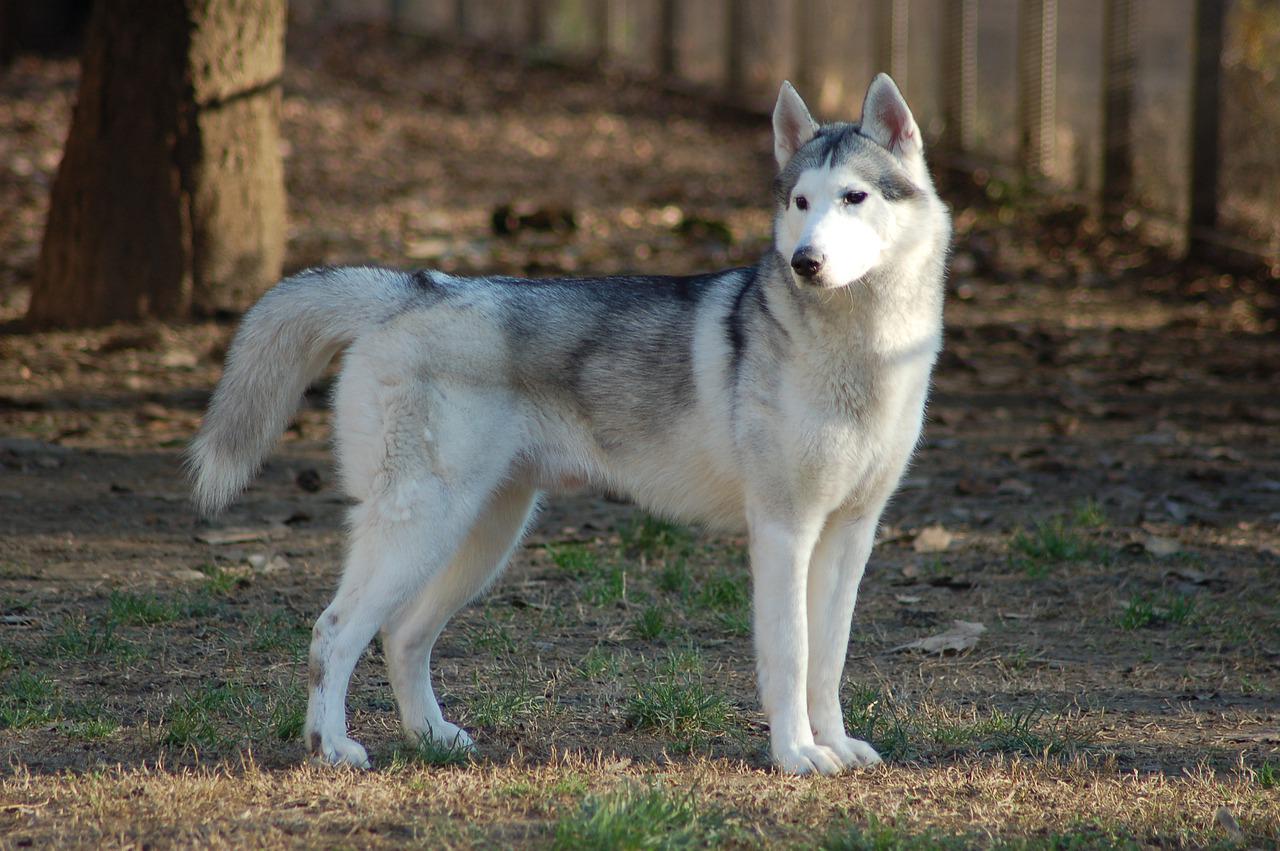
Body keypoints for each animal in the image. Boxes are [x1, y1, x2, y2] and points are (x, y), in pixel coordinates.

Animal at [186, 76, 952, 772]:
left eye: (854, 197)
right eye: (801, 202)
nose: (805, 261)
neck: (863, 351)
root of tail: (417, 288)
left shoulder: (850, 533)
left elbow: (828, 658)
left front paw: (835, 744)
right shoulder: (783, 529)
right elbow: (790, 656)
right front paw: (796, 754)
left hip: (483, 535)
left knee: (402, 635)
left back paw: (431, 737)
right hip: (422, 525)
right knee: (334, 631)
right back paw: (331, 747)